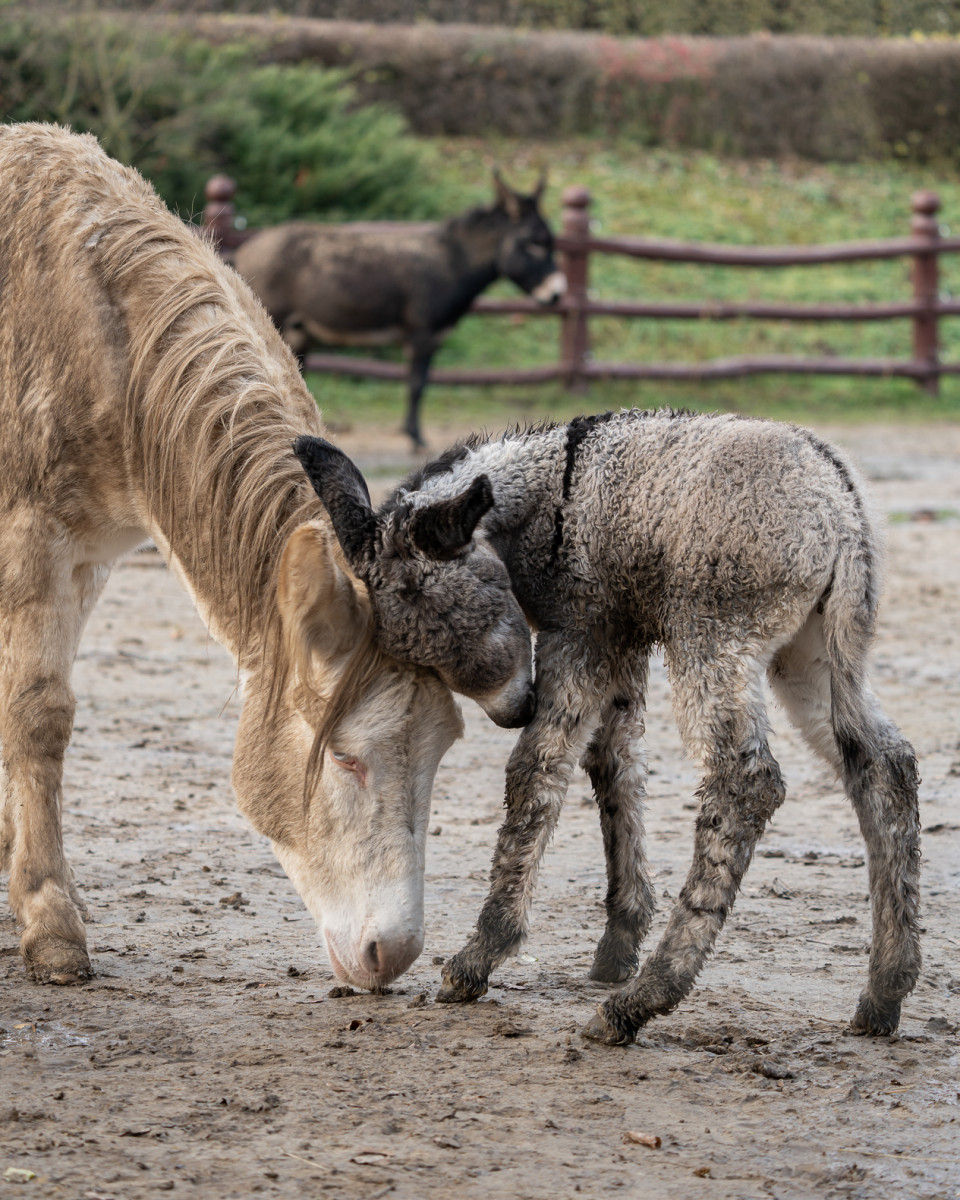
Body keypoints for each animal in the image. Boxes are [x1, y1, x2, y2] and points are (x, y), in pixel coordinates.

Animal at [294, 410, 921, 1041]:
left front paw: (481, 957)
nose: (513, 711)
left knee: (747, 784)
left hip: (712, 642)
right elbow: (613, 765)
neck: (553, 496)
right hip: (813, 653)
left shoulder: (582, 637)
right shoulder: (621, 645)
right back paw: (885, 991)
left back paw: (641, 1001)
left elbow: (537, 771)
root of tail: (838, 495)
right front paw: (619, 941)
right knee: (884, 763)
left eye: (443, 605)